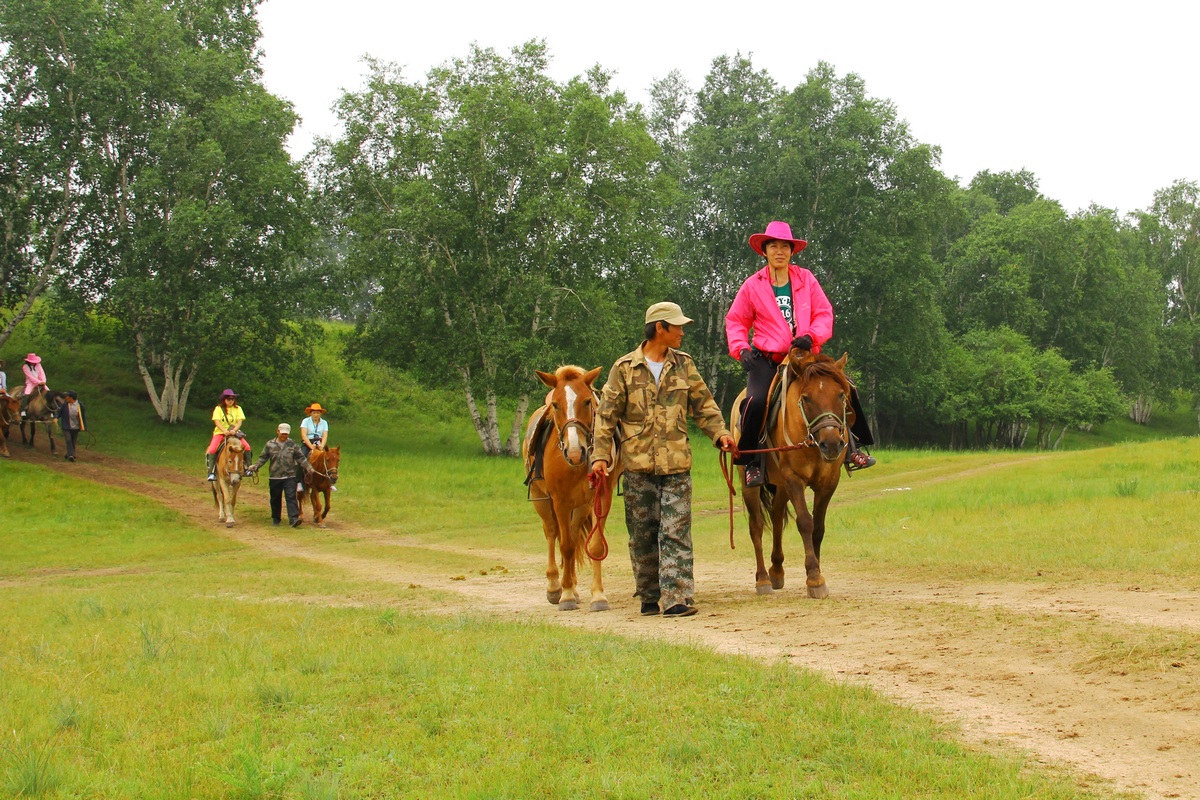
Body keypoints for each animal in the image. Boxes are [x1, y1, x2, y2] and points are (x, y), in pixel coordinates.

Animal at [523, 367, 619, 614]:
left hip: (581, 506)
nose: (575, 452)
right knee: (551, 533)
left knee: (575, 538)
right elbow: (564, 546)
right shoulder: (560, 501)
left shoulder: (599, 498)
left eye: (587, 401)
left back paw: (574, 588)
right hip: (541, 499)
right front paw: (564, 595)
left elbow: (594, 546)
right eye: (556, 405)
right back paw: (555, 587)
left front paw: (598, 596)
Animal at [729, 347, 854, 597]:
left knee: (777, 516)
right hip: (751, 484)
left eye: (841, 395)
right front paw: (814, 579)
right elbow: (805, 522)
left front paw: (816, 572)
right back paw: (763, 579)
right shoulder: (794, 479)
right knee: (756, 527)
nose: (831, 444)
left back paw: (776, 570)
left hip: (781, 485)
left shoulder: (828, 483)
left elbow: (818, 527)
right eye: (806, 398)